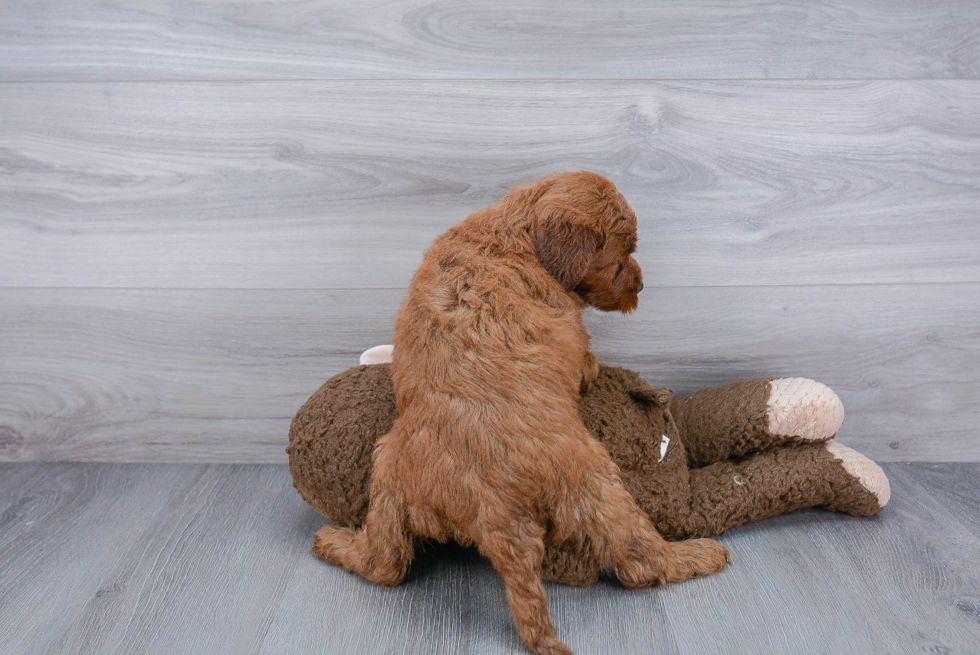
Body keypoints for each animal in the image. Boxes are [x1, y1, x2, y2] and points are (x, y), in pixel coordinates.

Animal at [314, 172, 728, 652]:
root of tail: (492, 510)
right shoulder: (578, 342)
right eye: (620, 255)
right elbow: (588, 363)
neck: (513, 234)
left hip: (386, 475)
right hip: (600, 484)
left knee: (385, 564)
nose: (641, 286)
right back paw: (697, 553)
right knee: (641, 563)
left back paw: (332, 542)